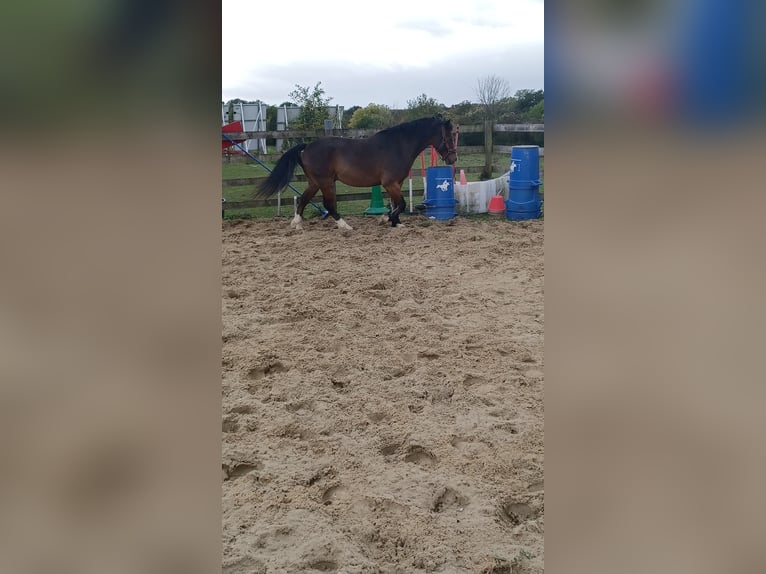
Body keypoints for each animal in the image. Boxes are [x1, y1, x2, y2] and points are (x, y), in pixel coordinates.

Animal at [260, 116, 460, 231]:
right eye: (449, 136)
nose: (453, 158)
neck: (399, 145)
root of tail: (306, 147)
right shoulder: (390, 183)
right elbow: (401, 204)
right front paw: (386, 219)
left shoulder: (398, 183)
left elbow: (396, 203)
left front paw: (395, 222)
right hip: (326, 182)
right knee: (329, 204)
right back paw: (345, 226)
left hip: (315, 183)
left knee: (303, 199)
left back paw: (297, 224)